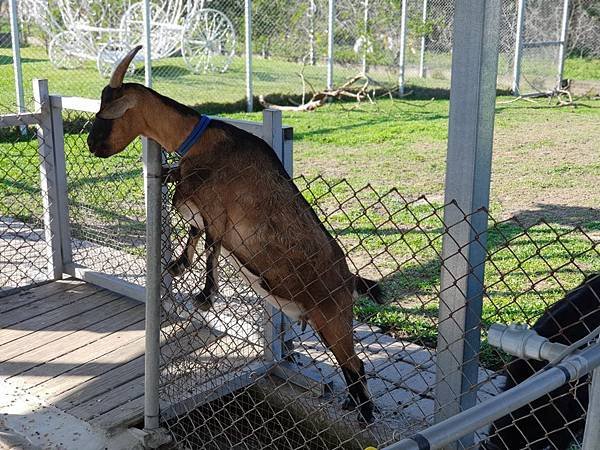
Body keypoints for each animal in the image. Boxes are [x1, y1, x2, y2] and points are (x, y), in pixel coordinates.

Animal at [88, 45, 384, 422]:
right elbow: (194, 230)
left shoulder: (218, 212)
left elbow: (210, 245)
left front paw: (204, 295)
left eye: (106, 112)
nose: (91, 145)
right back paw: (351, 404)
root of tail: (350, 279)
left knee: (355, 364)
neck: (201, 140)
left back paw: (365, 413)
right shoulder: (201, 207)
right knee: (351, 365)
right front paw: (178, 266)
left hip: (333, 317)